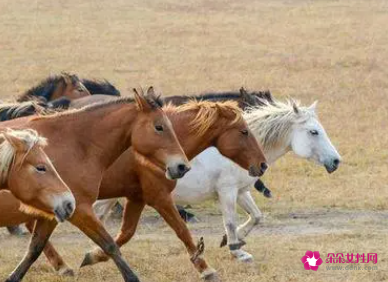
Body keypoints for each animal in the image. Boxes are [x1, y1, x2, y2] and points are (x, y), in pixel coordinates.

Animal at [0, 87, 188, 282]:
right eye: (159, 127)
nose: (182, 166)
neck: (78, 145)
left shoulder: (52, 214)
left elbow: (34, 249)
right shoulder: (80, 210)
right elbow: (109, 245)